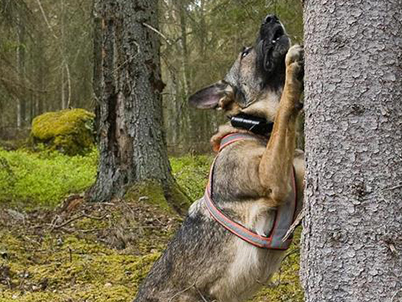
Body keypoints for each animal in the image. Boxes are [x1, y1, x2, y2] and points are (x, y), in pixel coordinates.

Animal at [133, 14, 304, 302]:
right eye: (245, 53)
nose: (270, 17)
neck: (254, 128)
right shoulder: (272, 179)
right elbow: (284, 114)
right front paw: (292, 73)